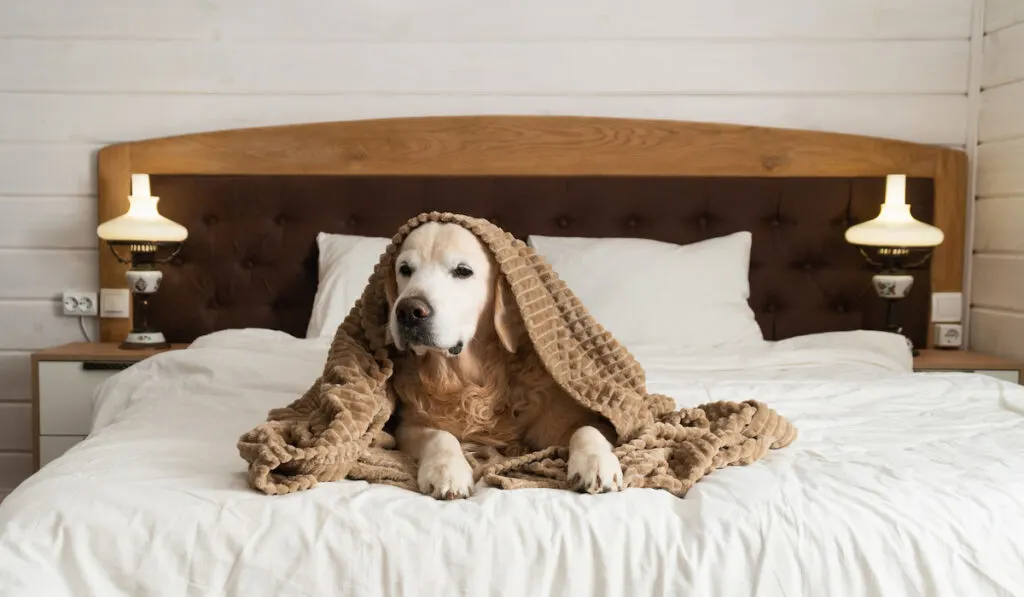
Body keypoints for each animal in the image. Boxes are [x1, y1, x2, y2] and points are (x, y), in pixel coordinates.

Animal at [385, 223, 618, 499]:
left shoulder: (569, 418)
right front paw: (447, 471)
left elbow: (587, 429)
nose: (408, 312)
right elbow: (438, 435)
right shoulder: (407, 424)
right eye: (405, 269)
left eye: (462, 271)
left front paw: (596, 463)